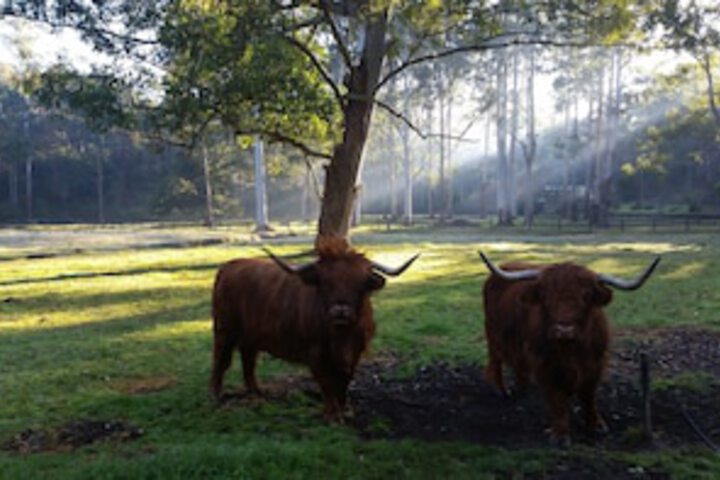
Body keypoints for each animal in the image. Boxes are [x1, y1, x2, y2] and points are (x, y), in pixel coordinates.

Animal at [210, 236, 416, 420]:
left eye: (361, 283)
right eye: (325, 282)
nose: (340, 311)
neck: (341, 336)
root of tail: (229, 266)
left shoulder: (356, 351)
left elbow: (345, 379)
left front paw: (345, 410)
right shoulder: (314, 354)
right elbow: (326, 383)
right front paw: (332, 415)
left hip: (250, 335)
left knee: (248, 360)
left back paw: (256, 393)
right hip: (224, 330)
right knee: (221, 360)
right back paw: (216, 397)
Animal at [478, 251, 660, 446]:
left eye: (586, 296)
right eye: (546, 297)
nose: (564, 329)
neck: (570, 351)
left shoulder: (596, 364)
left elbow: (589, 396)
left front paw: (596, 425)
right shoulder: (544, 365)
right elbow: (556, 399)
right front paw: (560, 434)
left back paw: (523, 386)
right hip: (492, 333)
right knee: (495, 359)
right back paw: (501, 390)